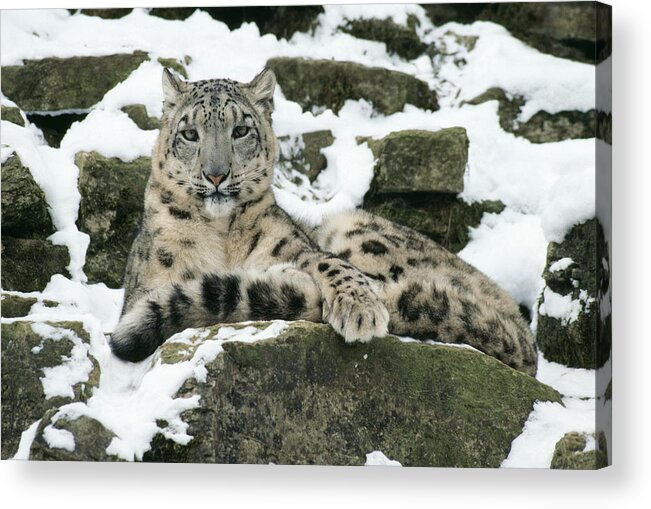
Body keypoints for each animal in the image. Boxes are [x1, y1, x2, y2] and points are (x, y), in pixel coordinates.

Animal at [111, 65, 540, 376]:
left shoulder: (297, 245)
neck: (221, 235)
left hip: (354, 228)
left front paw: (360, 308)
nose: (216, 175)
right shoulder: (148, 288)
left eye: (241, 130)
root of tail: (524, 333)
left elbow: (329, 263)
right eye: (189, 134)